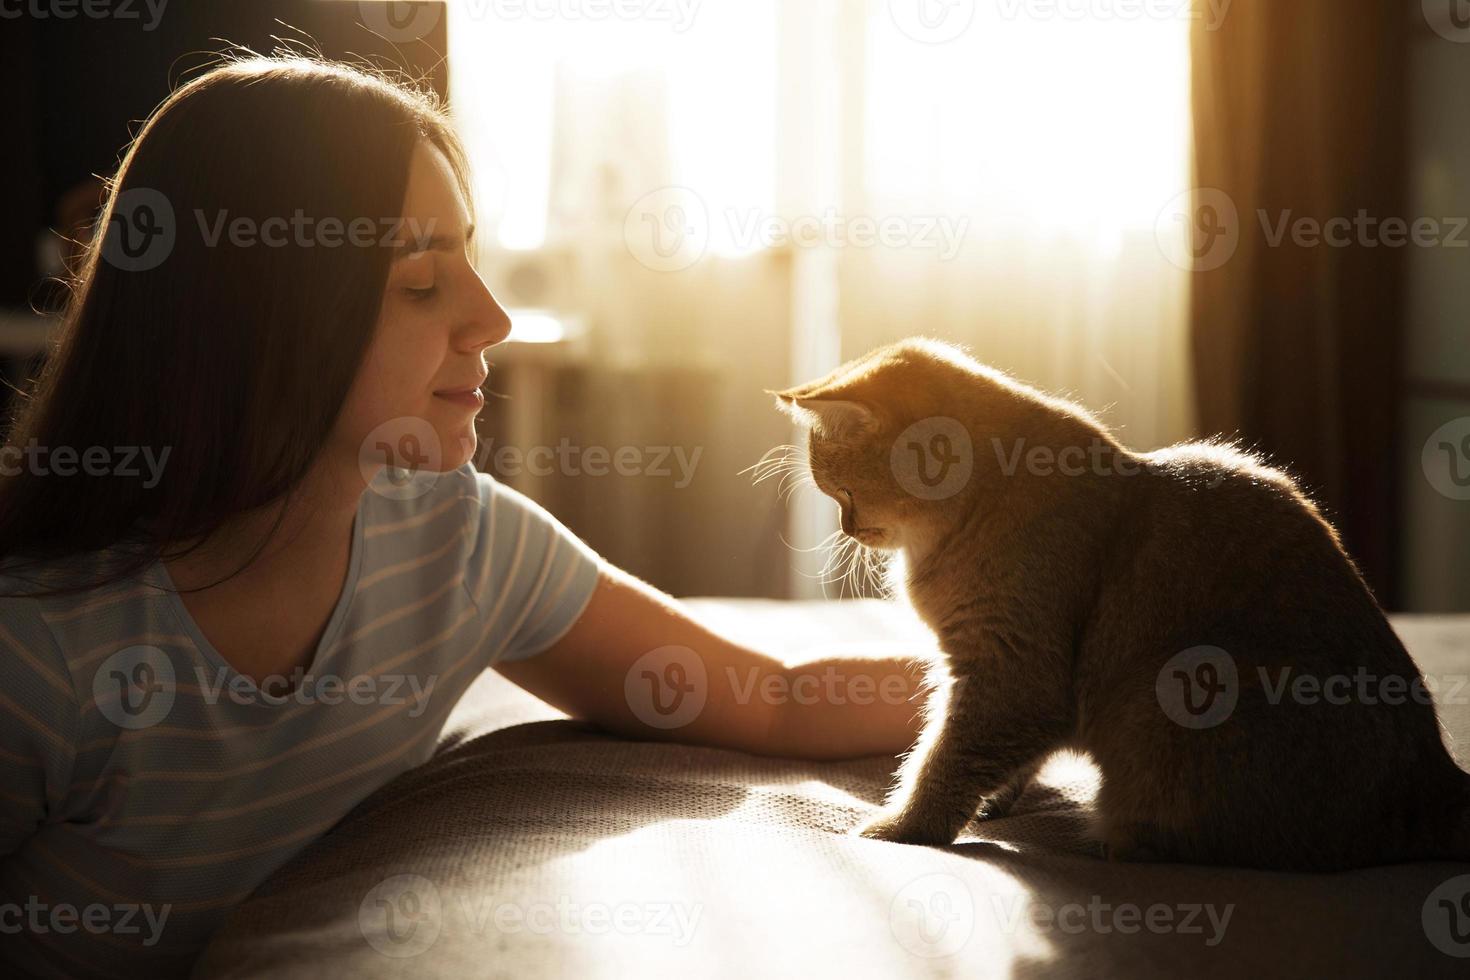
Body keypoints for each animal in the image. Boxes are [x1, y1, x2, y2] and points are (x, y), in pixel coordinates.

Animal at [770, 339, 1470, 875]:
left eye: (842, 493)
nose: (847, 528)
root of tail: (1434, 781)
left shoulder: (1009, 673)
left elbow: (942, 758)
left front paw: (902, 827)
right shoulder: (1008, 680)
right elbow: (997, 755)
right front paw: (994, 799)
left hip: (1175, 698)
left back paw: (1117, 839)